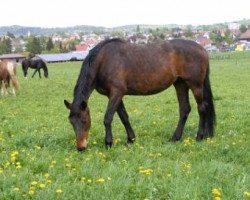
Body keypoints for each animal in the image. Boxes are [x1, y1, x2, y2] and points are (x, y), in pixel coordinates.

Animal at [64, 38, 215, 152]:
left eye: (84, 120)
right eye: (71, 122)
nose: (81, 147)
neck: (104, 60)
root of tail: (202, 49)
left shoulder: (116, 92)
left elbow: (108, 118)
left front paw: (108, 143)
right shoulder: (114, 95)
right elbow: (124, 117)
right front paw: (131, 139)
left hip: (195, 85)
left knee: (202, 108)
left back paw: (199, 137)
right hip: (180, 84)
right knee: (184, 109)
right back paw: (175, 138)